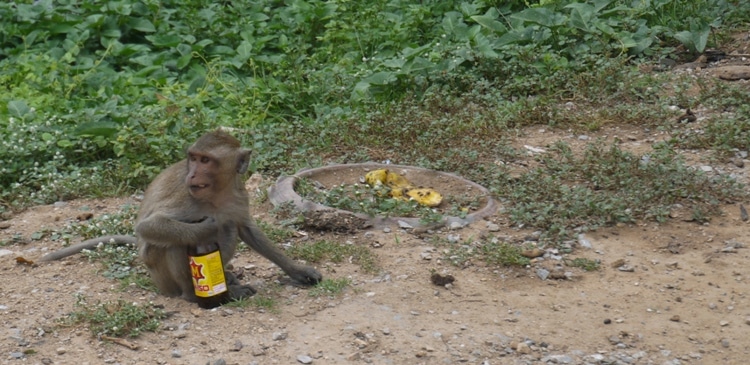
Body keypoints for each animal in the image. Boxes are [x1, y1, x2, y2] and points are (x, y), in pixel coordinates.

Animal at [40, 131, 324, 302]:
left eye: (206, 161)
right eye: (194, 158)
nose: (193, 174)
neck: (217, 194)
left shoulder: (239, 196)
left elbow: (247, 229)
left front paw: (298, 271)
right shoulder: (186, 197)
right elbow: (149, 226)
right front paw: (207, 229)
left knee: (229, 229)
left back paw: (227, 277)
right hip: (160, 275)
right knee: (173, 243)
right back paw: (198, 294)